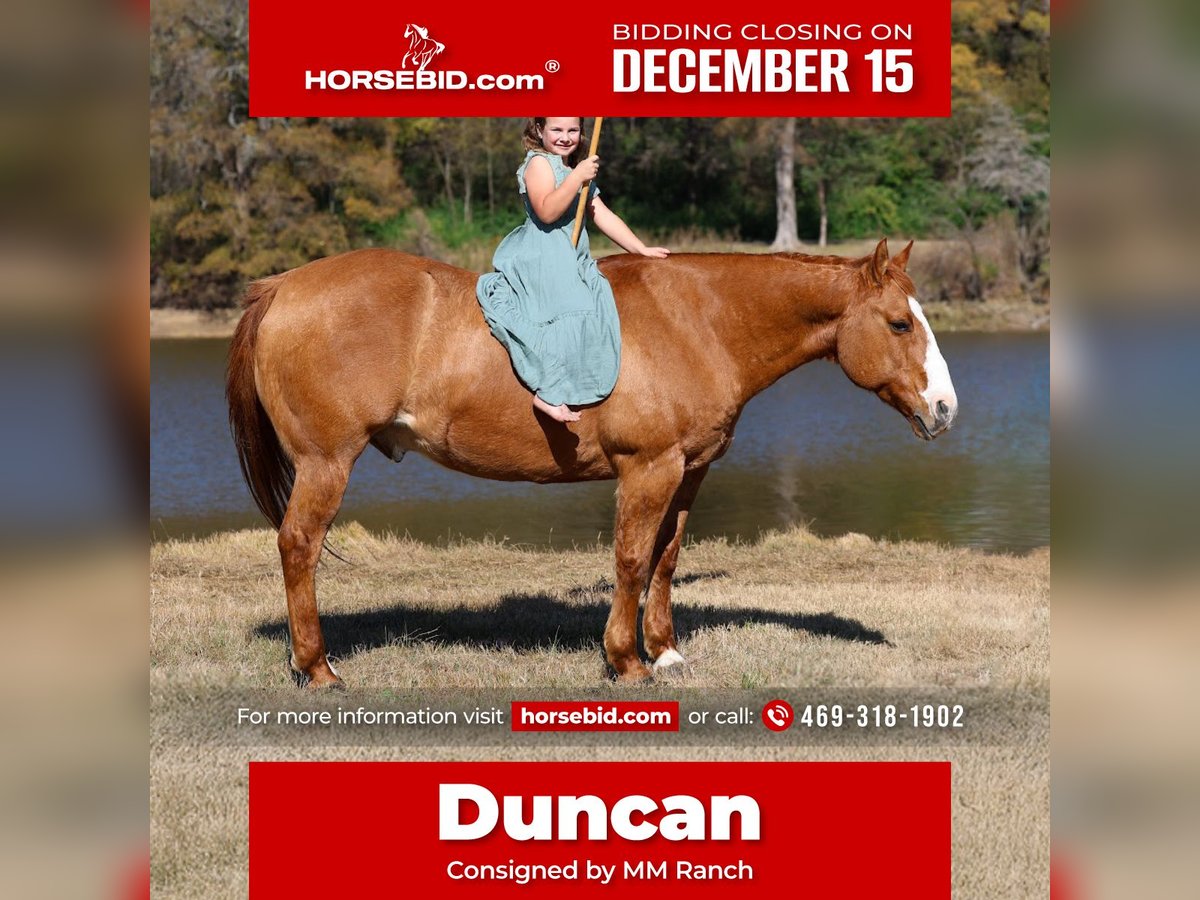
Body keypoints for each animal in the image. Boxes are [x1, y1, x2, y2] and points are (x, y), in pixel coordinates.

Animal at [226, 238, 957, 688]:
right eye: (899, 324)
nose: (945, 408)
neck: (696, 320)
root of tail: (283, 287)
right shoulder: (648, 470)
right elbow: (630, 560)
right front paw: (625, 661)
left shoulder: (688, 472)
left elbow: (665, 560)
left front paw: (665, 651)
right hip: (326, 463)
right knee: (298, 545)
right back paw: (318, 668)